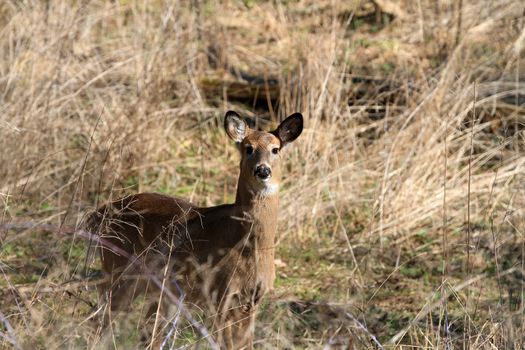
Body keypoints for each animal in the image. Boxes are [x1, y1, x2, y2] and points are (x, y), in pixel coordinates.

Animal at [86, 110, 302, 348]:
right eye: (248, 148)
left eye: (275, 149)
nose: (263, 170)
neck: (250, 247)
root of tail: (99, 213)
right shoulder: (219, 294)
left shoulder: (252, 301)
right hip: (119, 268)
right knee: (102, 318)